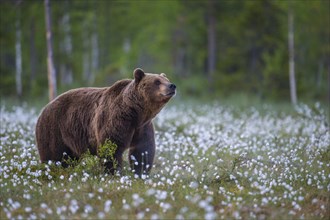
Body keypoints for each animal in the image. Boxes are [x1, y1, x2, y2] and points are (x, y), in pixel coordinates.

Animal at [35, 68, 177, 176]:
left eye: (167, 80)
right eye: (157, 81)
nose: (172, 85)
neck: (136, 112)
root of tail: (44, 108)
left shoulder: (142, 127)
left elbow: (142, 150)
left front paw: (141, 173)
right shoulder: (116, 119)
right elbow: (111, 147)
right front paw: (113, 172)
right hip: (55, 128)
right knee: (53, 156)